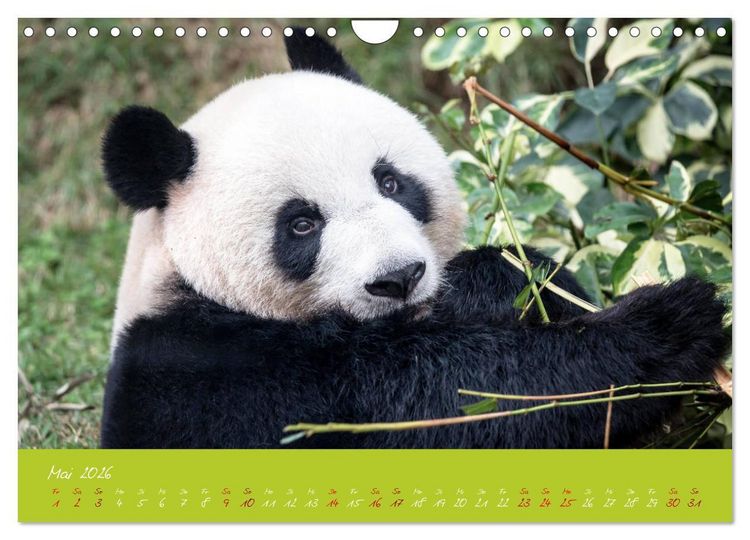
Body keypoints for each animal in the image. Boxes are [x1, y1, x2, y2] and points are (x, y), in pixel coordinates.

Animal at [99, 31, 729, 449]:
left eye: (390, 181)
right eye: (301, 224)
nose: (399, 278)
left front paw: (494, 278)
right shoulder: (216, 377)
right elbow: (447, 401)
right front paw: (668, 326)